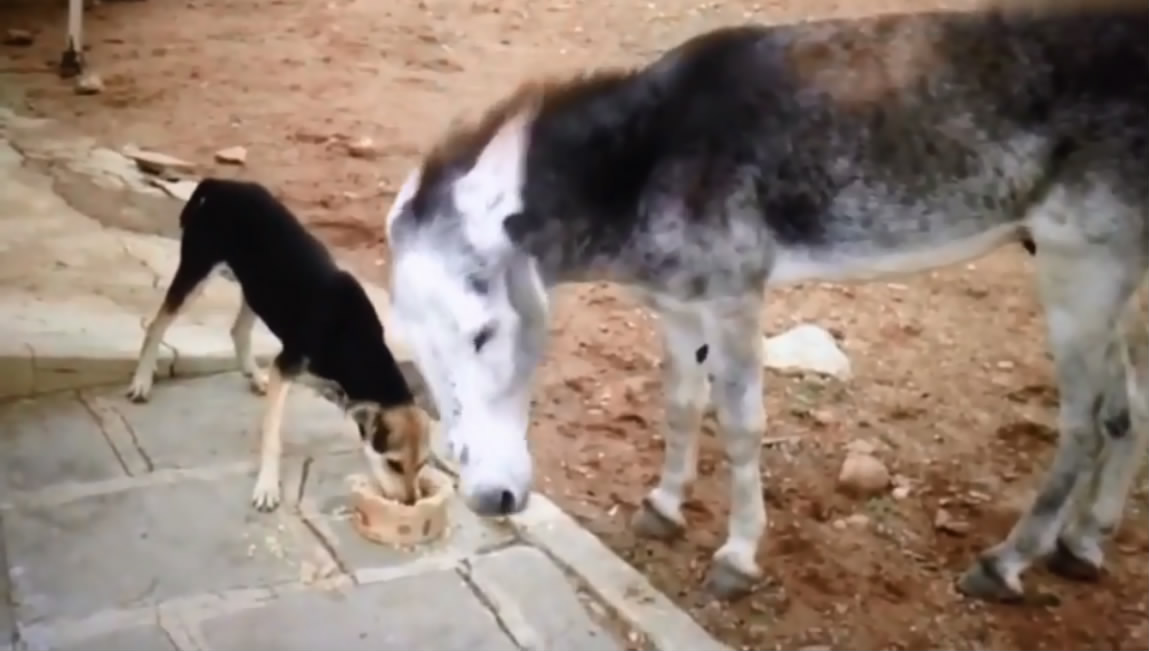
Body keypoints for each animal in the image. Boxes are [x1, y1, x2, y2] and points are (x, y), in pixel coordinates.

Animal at [125, 179, 432, 514]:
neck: (352, 338)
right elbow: (272, 436)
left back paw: (254, 375)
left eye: (422, 464)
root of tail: (222, 184)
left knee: (237, 331)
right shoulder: (287, 365)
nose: (412, 503)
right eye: (394, 464)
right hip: (196, 269)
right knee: (156, 325)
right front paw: (267, 486)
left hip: (255, 288)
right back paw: (142, 381)